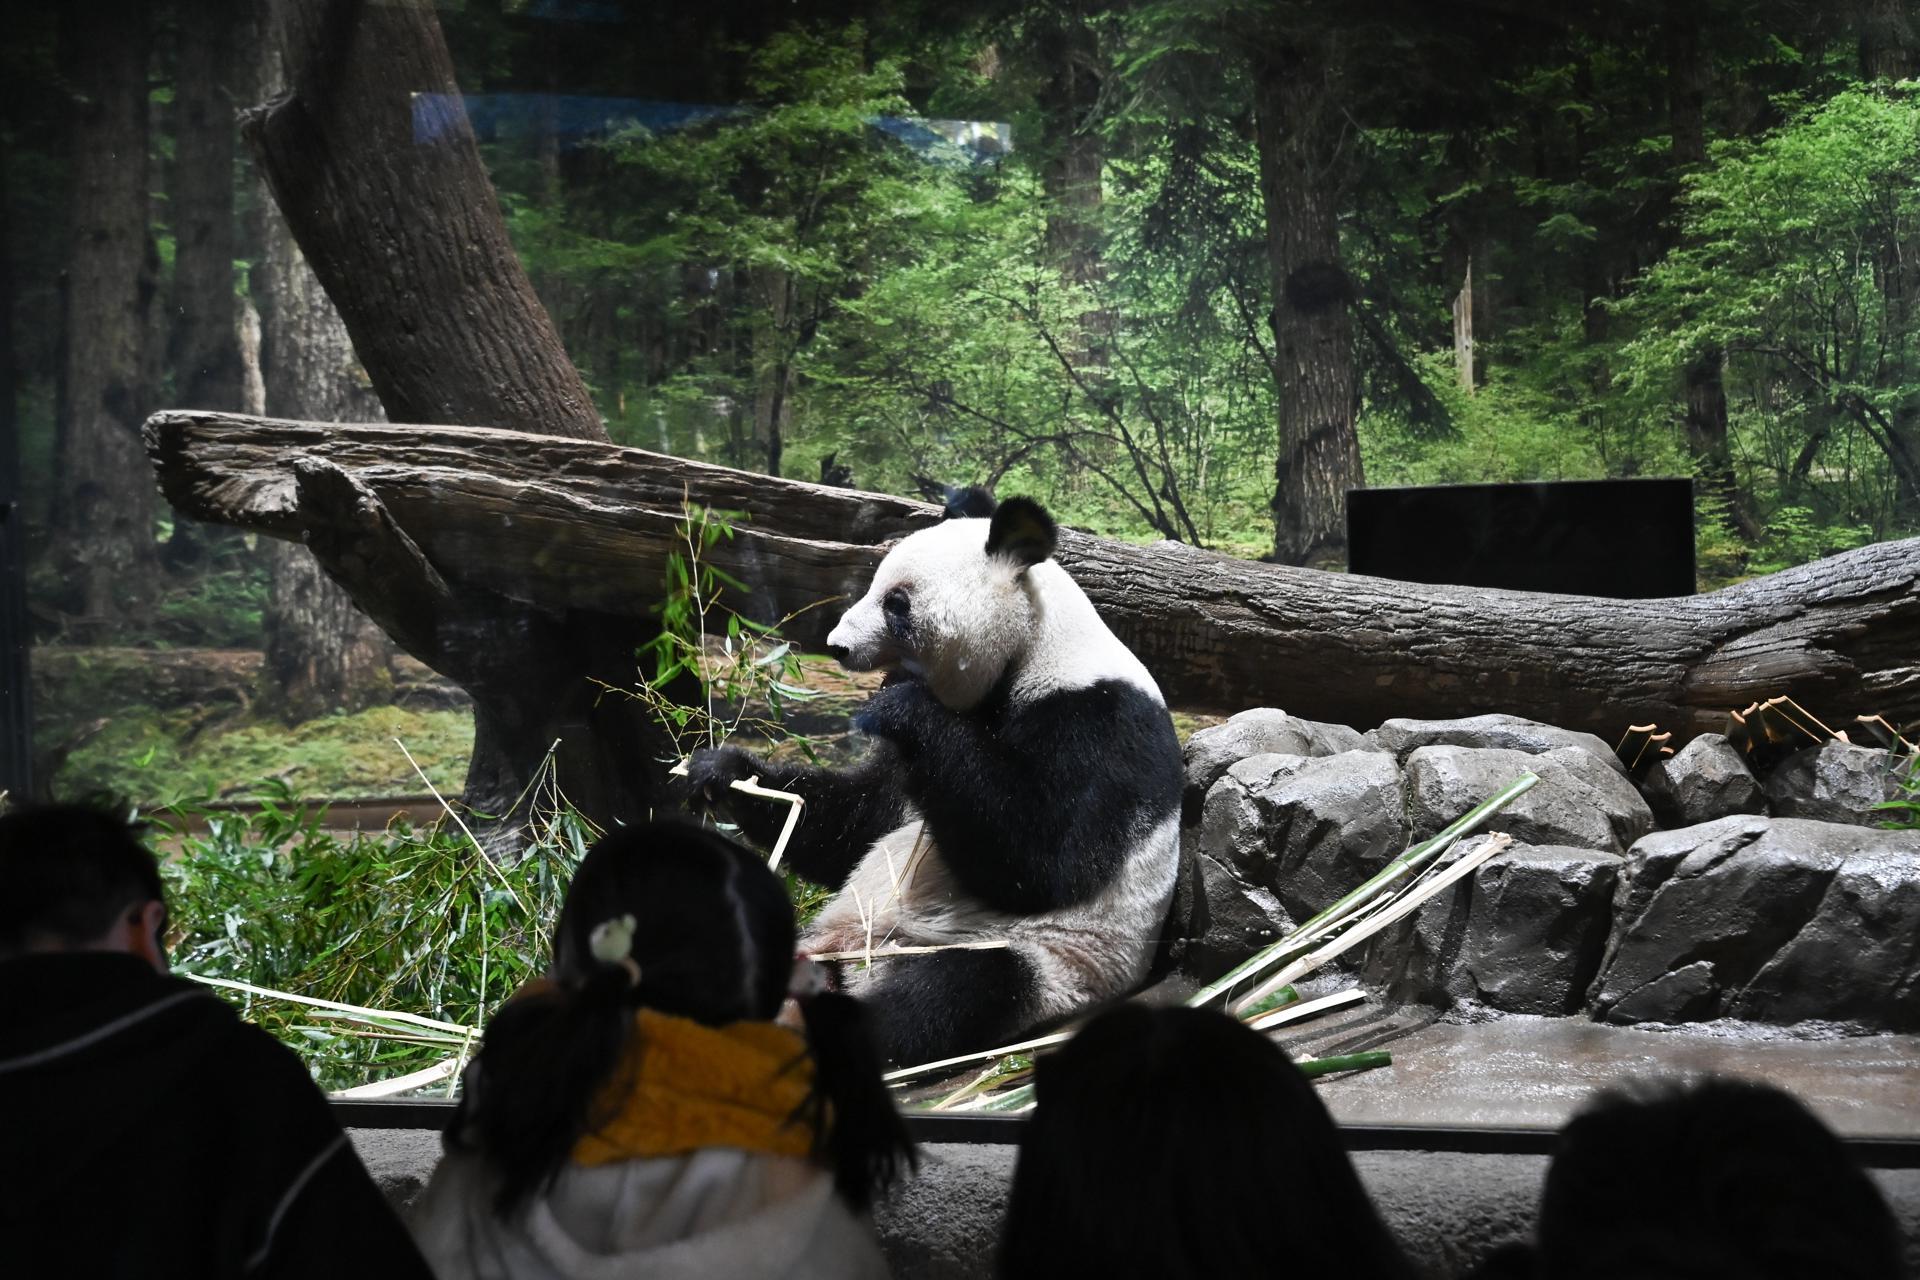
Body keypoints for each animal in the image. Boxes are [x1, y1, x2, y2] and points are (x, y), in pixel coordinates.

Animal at [685, 496, 1185, 1066]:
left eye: (896, 603)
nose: (838, 646)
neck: (1033, 648)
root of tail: (849, 961)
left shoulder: (1099, 719)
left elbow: (1046, 861)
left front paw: (898, 704)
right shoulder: (914, 770)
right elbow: (857, 823)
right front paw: (721, 773)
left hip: (1044, 959)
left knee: (948, 992)